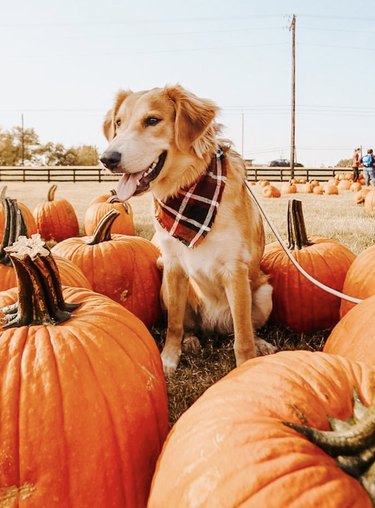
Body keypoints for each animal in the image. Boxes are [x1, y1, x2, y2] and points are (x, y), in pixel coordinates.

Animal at [101, 85, 274, 376]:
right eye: (119, 123)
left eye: (152, 120)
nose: (107, 158)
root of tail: (215, 326)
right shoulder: (173, 266)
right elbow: (174, 324)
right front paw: (169, 359)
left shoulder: (236, 271)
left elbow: (243, 334)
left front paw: (247, 365)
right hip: (166, 288)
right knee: (189, 325)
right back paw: (191, 341)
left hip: (264, 293)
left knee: (245, 327)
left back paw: (261, 343)